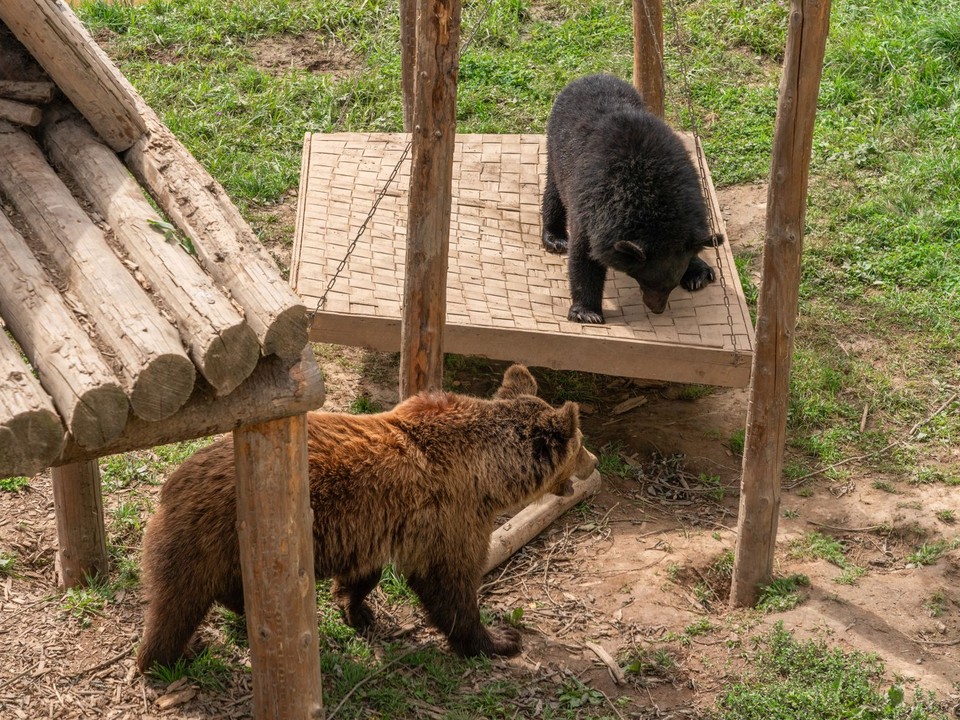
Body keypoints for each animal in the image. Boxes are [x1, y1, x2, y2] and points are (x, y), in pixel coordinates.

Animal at [139, 366, 596, 676]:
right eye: (580, 445)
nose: (593, 463)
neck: (486, 472)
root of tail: (171, 487)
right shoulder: (450, 516)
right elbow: (449, 584)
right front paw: (499, 639)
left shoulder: (377, 522)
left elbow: (365, 572)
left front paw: (356, 608)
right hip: (209, 536)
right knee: (176, 604)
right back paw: (178, 652)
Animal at [544, 72, 724, 320]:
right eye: (645, 280)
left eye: (671, 285)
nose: (656, 309)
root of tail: (591, 75)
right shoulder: (591, 204)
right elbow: (583, 253)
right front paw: (587, 313)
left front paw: (699, 273)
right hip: (557, 154)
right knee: (553, 194)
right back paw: (556, 239)